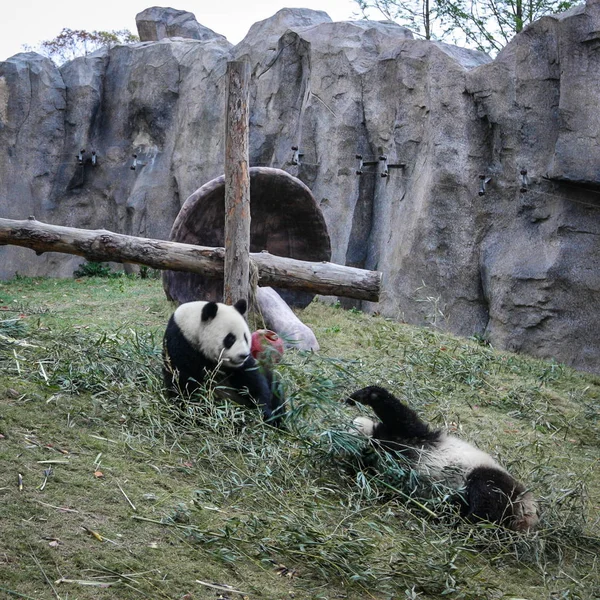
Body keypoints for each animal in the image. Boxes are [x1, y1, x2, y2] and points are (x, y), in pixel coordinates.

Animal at [346, 384, 540, 528]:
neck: (375, 439)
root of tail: (526, 510)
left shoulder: (412, 437)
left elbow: (401, 416)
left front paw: (359, 396)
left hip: (491, 478)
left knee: (486, 498)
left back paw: (463, 524)